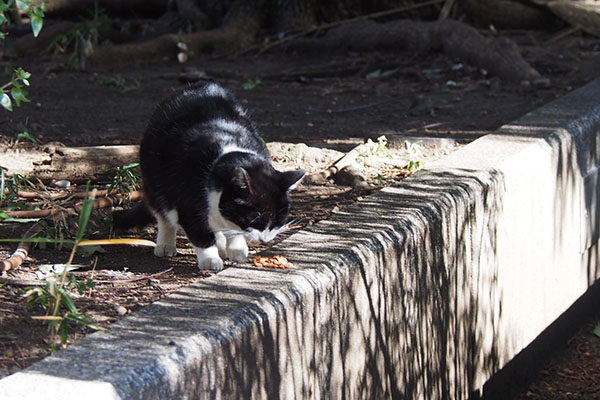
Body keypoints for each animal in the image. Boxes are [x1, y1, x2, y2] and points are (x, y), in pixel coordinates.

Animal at [111, 83, 304, 272]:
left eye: (278, 221)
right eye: (255, 219)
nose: (264, 240)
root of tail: (197, 86)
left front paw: (236, 248)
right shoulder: (188, 201)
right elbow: (201, 234)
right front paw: (210, 259)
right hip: (154, 179)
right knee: (162, 211)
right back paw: (166, 244)